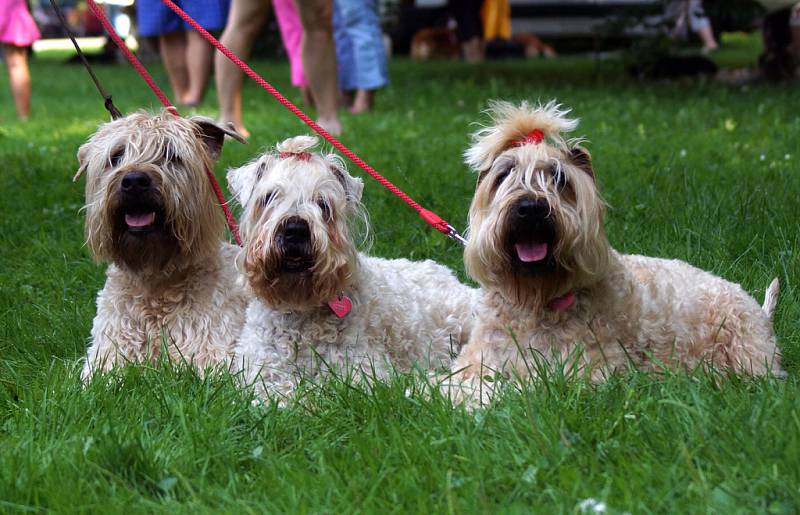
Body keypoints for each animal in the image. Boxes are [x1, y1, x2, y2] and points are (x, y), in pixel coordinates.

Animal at [228, 136, 478, 400]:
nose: (295, 229)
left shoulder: (360, 369)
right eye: (268, 197)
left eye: (323, 204)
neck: (299, 307)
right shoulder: (260, 370)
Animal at [444, 101, 788, 408]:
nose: (531, 208)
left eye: (559, 178)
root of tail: (759, 311)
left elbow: (512, 388)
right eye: (503, 175)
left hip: (746, 350)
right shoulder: (478, 358)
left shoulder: (575, 374)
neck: (535, 301)